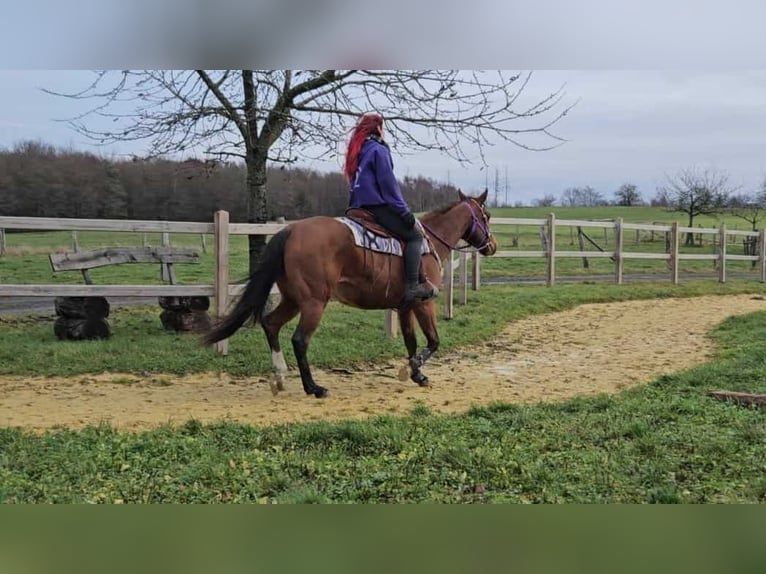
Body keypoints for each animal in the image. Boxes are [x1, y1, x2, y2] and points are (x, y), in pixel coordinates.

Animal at [203, 189, 498, 398]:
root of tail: (291, 230)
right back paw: (314, 388)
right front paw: (412, 371)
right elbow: (434, 341)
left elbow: (411, 341)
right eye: (486, 216)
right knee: (299, 340)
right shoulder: (424, 304)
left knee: (271, 324)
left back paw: (280, 376)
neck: (429, 243)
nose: (492, 245)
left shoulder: (405, 306)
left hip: (293, 300)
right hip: (313, 302)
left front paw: (417, 374)